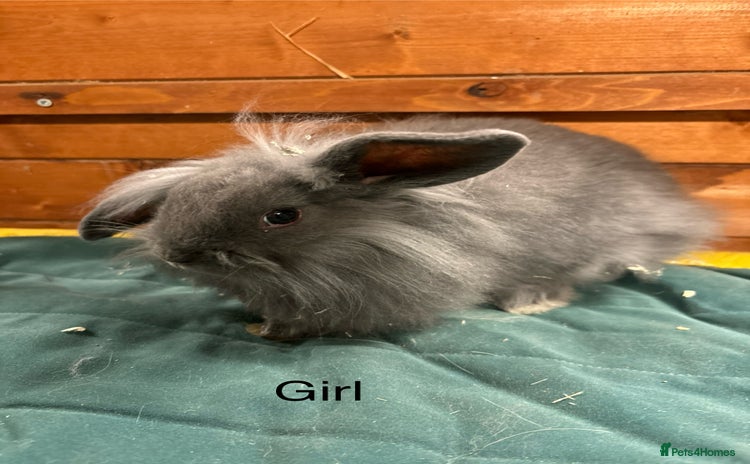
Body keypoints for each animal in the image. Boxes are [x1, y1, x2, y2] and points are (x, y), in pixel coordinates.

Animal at [79, 114, 718, 339]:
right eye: (180, 200)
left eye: (281, 216)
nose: (177, 253)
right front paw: (262, 323)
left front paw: (279, 333)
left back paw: (529, 301)